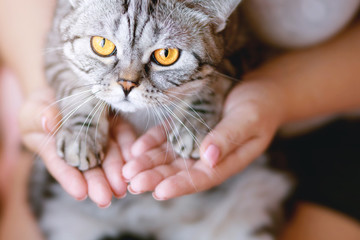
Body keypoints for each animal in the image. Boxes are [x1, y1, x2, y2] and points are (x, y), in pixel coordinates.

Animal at [33, 0, 292, 240]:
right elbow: (78, 92)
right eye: (102, 44)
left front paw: (192, 128)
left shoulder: (243, 53)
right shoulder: (54, 51)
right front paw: (81, 138)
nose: (126, 84)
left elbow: (210, 85)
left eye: (166, 55)